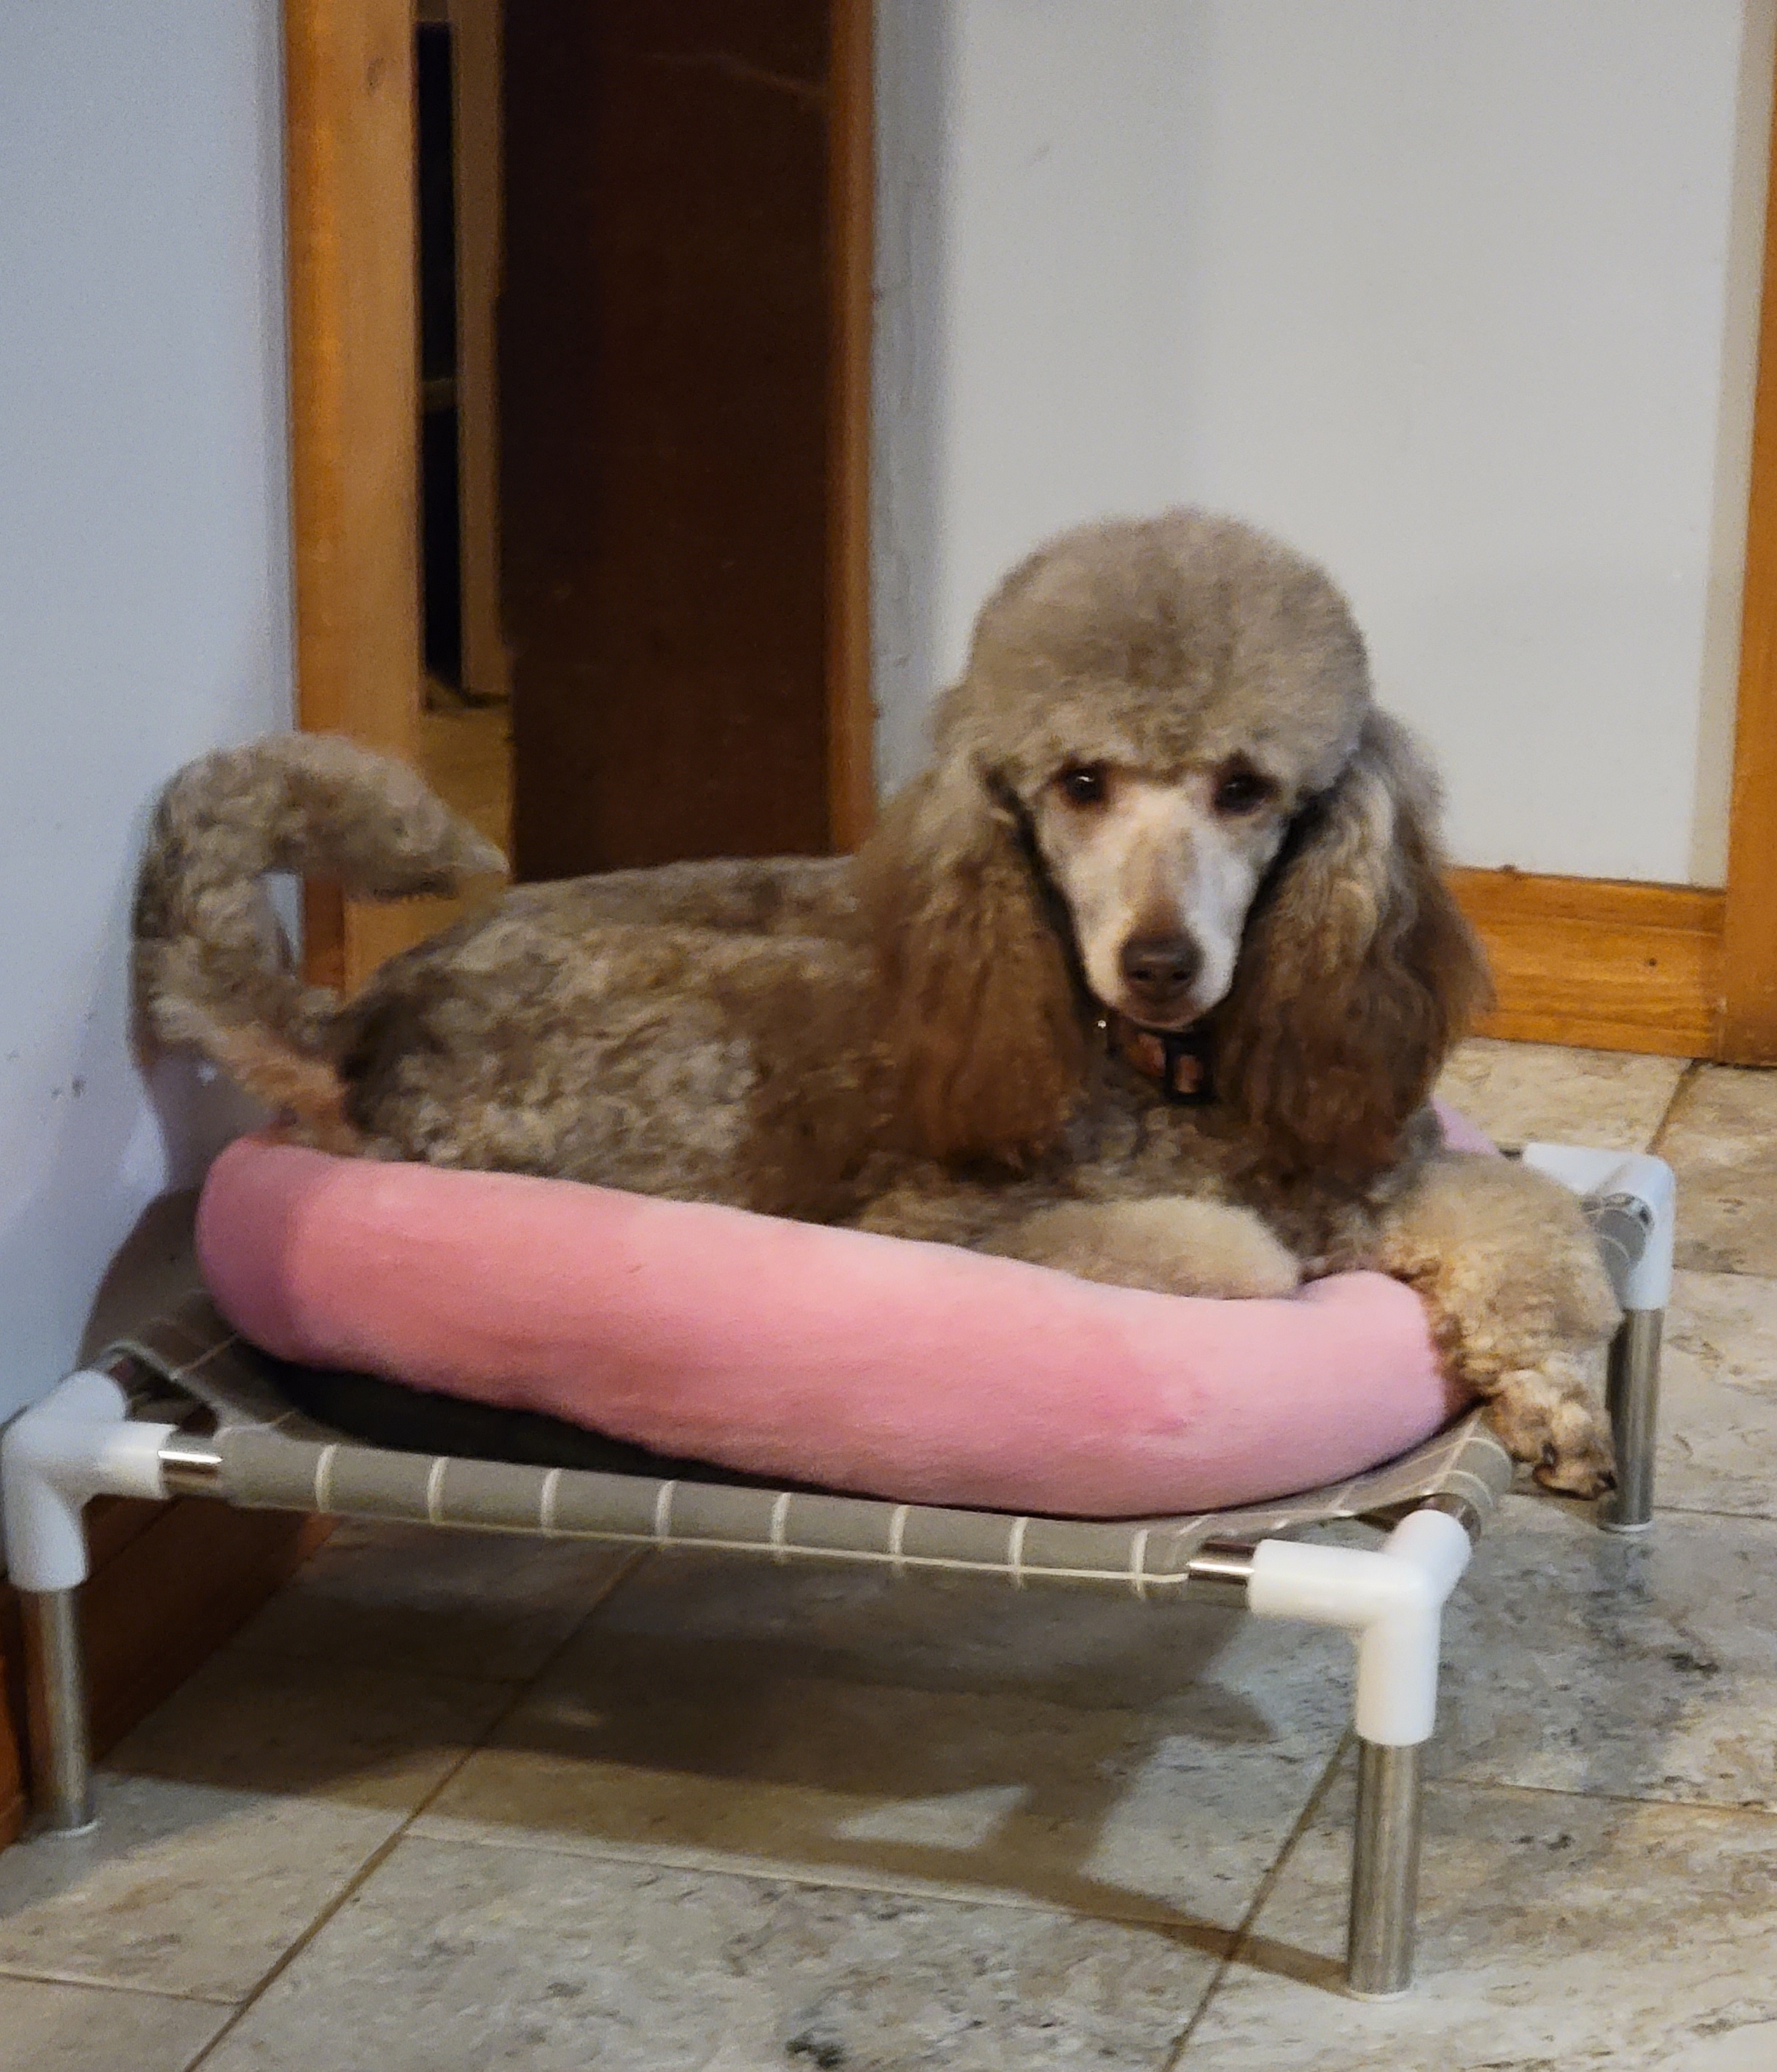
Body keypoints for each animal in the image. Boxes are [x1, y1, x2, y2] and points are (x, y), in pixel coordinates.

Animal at [136, 509, 1619, 1492]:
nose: (1157, 961)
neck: (1163, 1070)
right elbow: (1238, 1257)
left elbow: (1533, 1222)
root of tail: (357, 1027)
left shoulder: (1376, 1155)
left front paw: (1555, 1405)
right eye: (1079, 783)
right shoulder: (946, 1220)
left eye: (1245, 787)